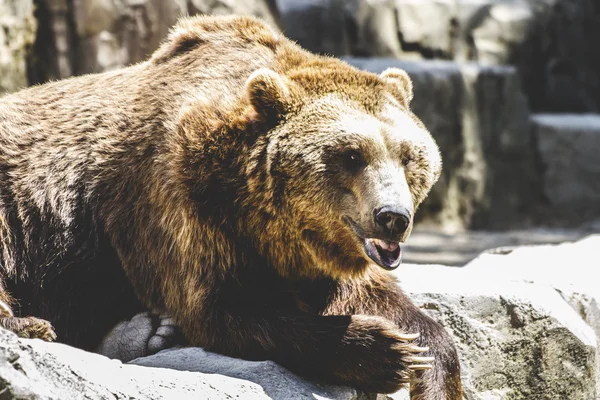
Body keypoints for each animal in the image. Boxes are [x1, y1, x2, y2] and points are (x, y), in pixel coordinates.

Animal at [0, 14, 462, 396]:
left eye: (408, 155)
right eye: (351, 155)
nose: (393, 218)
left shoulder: (319, 251)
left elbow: (378, 297)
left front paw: (423, 357)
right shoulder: (180, 202)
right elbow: (222, 310)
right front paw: (382, 349)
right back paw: (37, 324)